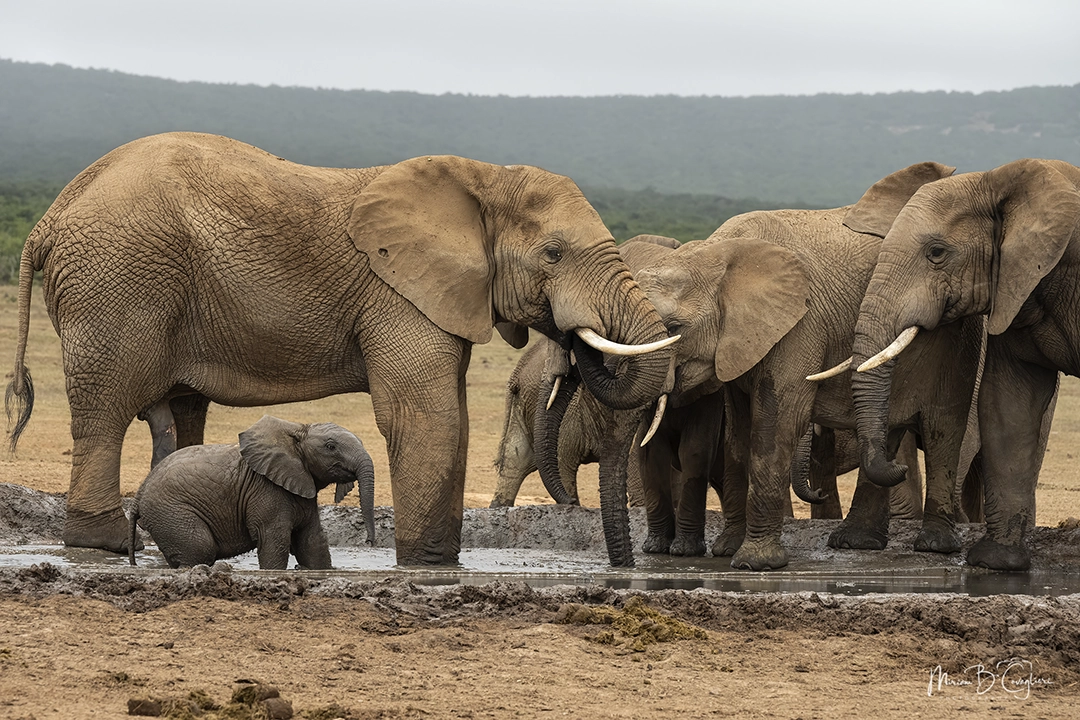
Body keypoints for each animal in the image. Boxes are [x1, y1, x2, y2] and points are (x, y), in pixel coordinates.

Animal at [129, 416, 375, 570]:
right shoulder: (266, 491)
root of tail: (138, 497)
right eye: (331, 447)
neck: (295, 430)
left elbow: (312, 541)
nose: (369, 542)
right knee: (200, 550)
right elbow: (274, 541)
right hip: (171, 513)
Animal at [848, 158, 1080, 570]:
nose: (898, 468)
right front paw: (996, 562)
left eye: (937, 252)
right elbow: (1008, 401)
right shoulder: (1013, 289)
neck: (995, 180)